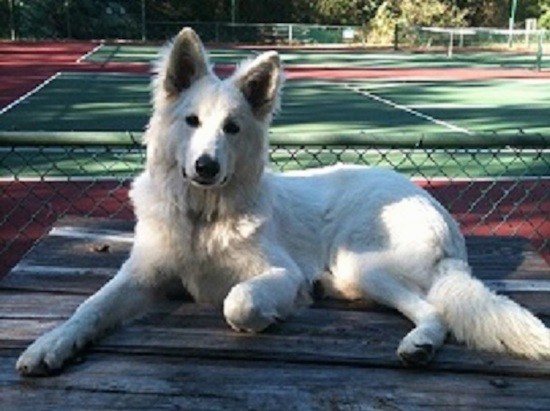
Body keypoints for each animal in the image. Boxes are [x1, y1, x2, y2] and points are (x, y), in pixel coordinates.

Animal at [15, 29, 548, 376]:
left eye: (232, 128)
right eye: (191, 121)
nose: (206, 166)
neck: (204, 218)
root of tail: (436, 211)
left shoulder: (277, 272)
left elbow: (239, 301)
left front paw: (272, 313)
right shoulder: (143, 274)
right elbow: (90, 307)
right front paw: (51, 344)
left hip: (363, 260)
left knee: (435, 311)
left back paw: (416, 341)